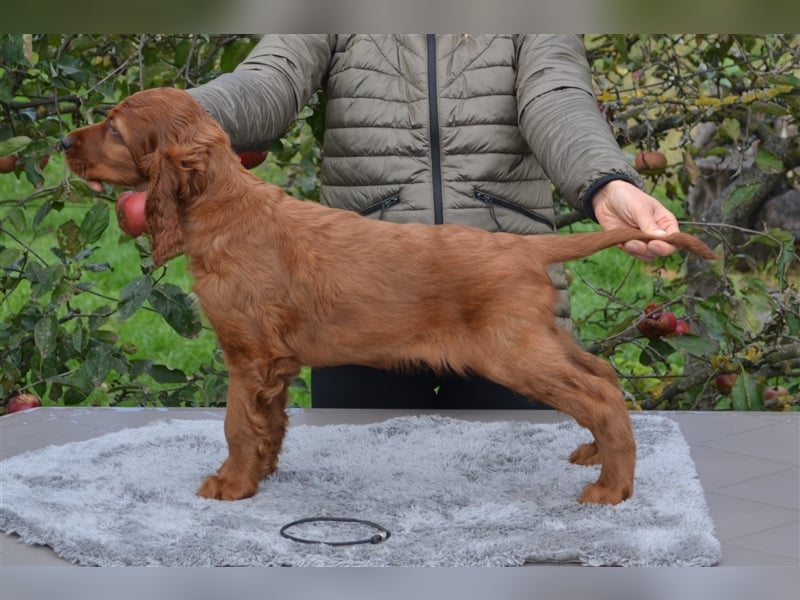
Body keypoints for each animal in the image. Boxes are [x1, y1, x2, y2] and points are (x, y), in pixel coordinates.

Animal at [62, 88, 712, 502]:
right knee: (602, 375)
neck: (224, 205)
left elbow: (237, 424)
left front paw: (232, 485)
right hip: (536, 337)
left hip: (514, 351)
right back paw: (597, 456)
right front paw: (263, 475)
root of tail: (525, 249)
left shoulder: (248, 356)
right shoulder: (273, 364)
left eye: (115, 130)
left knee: (598, 396)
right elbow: (269, 422)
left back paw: (612, 488)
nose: (67, 140)